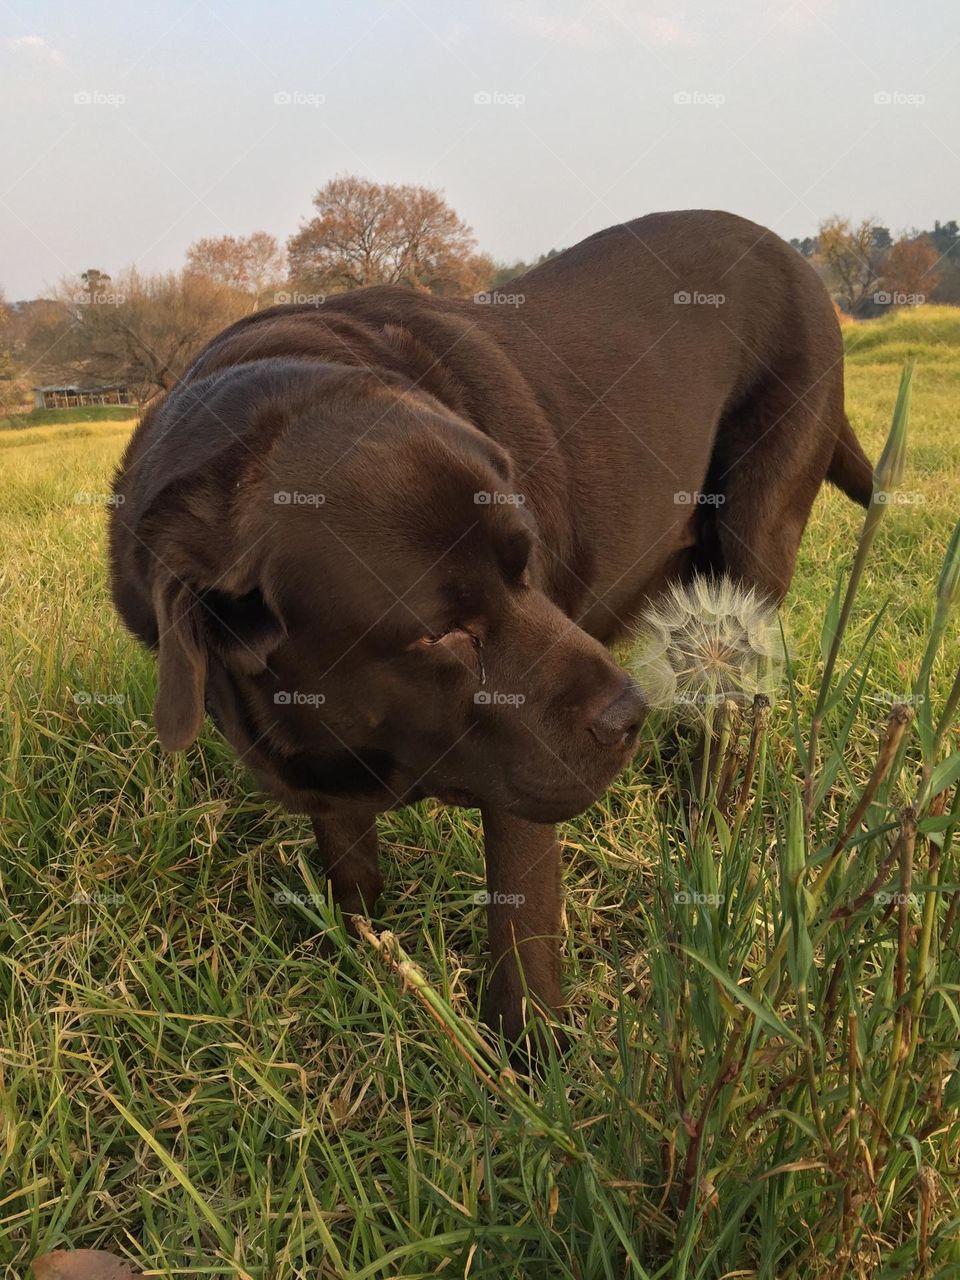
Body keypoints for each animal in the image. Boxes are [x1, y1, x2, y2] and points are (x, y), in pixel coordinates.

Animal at [108, 212, 875, 1049]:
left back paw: (711, 814)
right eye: (440, 635)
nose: (626, 716)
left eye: (525, 563)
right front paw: (365, 958)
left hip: (754, 538)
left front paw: (531, 1059)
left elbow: (522, 920)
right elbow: (350, 868)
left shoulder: (520, 773)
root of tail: (784, 250)